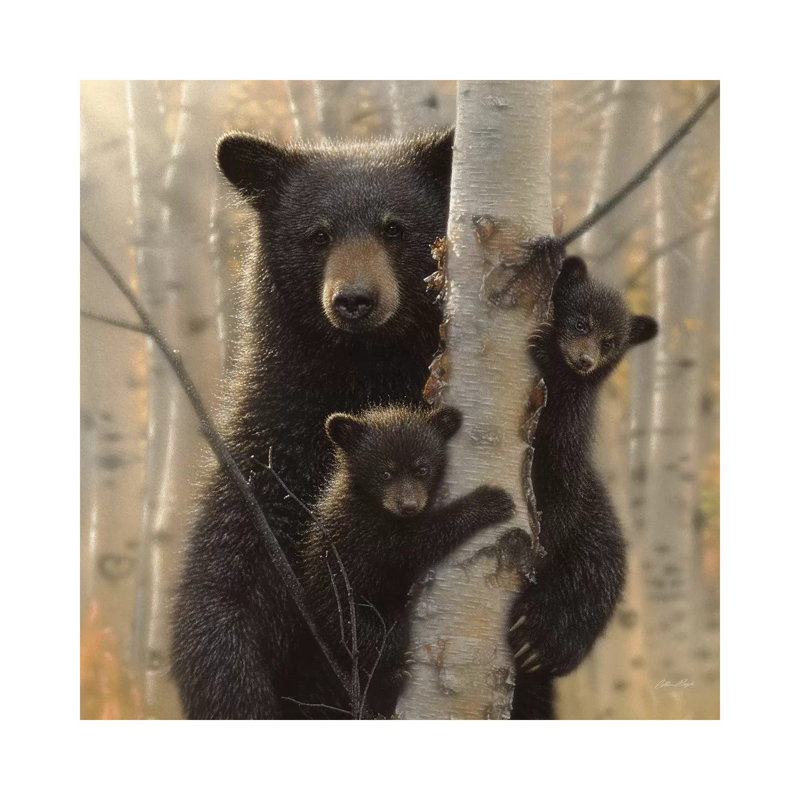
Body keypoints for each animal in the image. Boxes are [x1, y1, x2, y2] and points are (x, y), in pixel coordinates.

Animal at [170, 130, 457, 718]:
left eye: (395, 228)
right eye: (318, 234)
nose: (355, 300)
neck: (363, 375)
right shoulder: (270, 456)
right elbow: (221, 589)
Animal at [283, 404, 516, 718]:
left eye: (422, 469)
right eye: (385, 472)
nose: (408, 505)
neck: (372, 502)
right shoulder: (365, 532)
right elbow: (413, 545)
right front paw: (489, 501)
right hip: (347, 614)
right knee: (378, 640)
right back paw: (391, 674)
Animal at [507, 255, 658, 719]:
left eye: (610, 341)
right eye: (579, 322)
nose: (586, 360)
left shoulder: (568, 439)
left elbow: (560, 483)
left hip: (598, 549)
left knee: (586, 591)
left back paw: (538, 639)